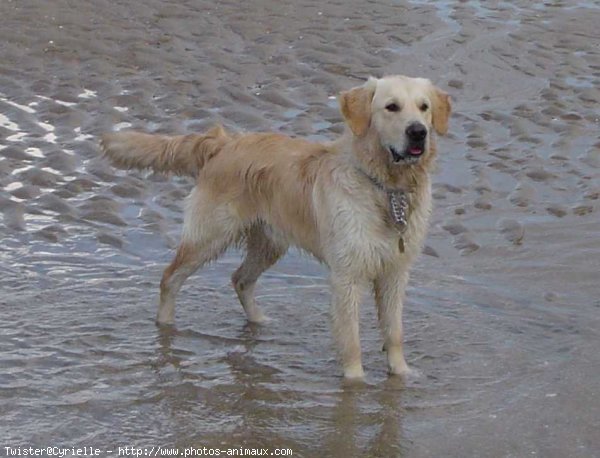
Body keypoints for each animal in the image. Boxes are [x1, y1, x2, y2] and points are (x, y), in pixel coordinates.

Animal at [102, 75, 450, 378]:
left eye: (423, 107)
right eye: (391, 107)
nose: (418, 132)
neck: (387, 187)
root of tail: (223, 142)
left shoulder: (395, 271)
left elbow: (394, 332)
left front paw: (402, 375)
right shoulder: (347, 274)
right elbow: (351, 340)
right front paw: (355, 384)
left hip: (269, 242)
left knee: (240, 279)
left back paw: (260, 322)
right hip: (210, 234)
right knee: (170, 278)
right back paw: (166, 329)